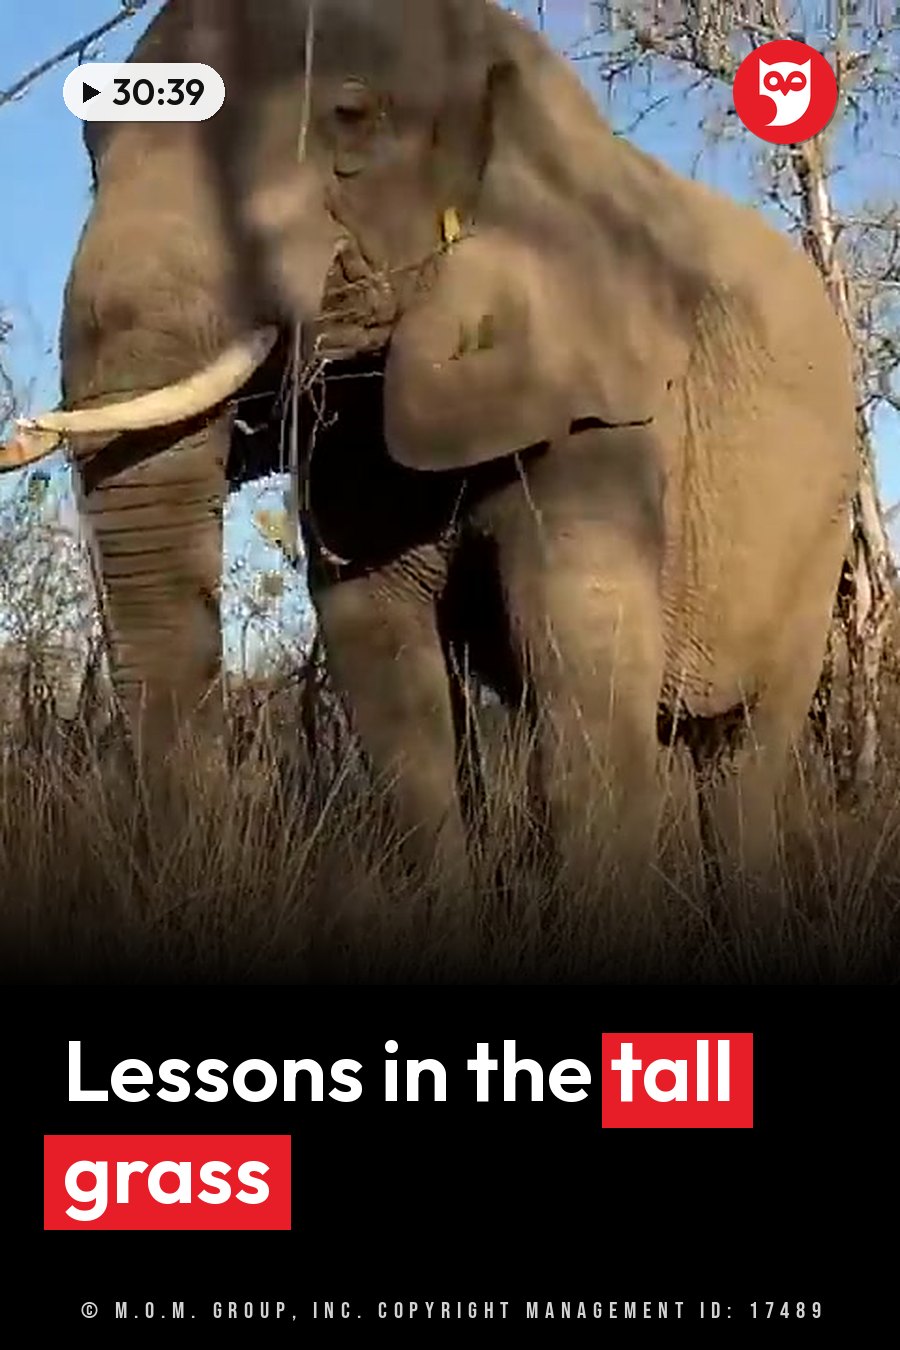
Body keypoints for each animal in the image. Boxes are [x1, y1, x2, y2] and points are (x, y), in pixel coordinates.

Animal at [2, 0, 856, 895]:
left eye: (352, 117)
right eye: (90, 152)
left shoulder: (605, 399)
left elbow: (583, 660)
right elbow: (385, 670)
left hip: (817, 535)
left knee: (742, 754)